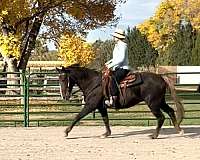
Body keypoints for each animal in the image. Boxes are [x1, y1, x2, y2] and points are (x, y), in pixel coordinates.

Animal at [56, 64, 184, 139]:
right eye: (59, 79)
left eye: (64, 78)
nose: (64, 96)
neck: (93, 82)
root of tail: (161, 77)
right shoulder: (101, 107)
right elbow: (105, 119)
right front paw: (106, 134)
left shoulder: (90, 105)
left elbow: (77, 116)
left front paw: (66, 132)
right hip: (160, 101)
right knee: (171, 111)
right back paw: (179, 130)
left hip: (153, 103)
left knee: (161, 117)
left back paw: (154, 135)